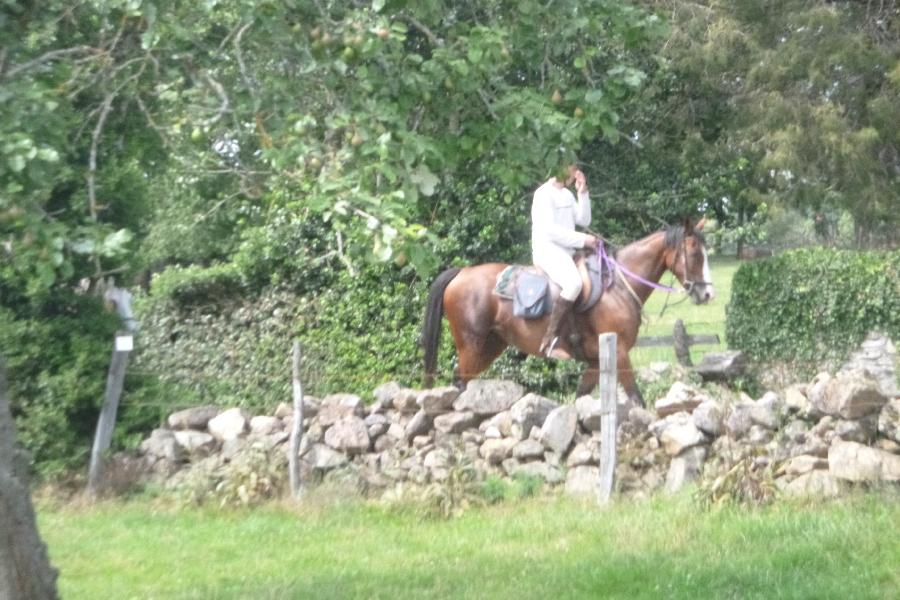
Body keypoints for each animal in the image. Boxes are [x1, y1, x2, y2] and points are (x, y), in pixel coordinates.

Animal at [424, 218, 716, 406]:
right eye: (695, 254)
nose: (707, 295)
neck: (618, 286)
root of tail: (462, 272)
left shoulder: (596, 362)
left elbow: (580, 399)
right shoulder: (620, 354)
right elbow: (636, 398)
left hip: (490, 347)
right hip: (472, 347)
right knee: (460, 384)